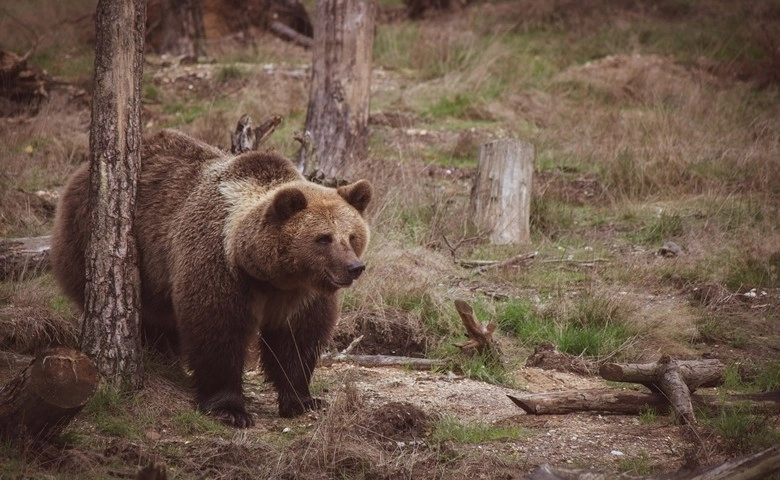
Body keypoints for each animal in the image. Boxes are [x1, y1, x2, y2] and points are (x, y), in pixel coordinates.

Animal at [50, 130, 374, 428]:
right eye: (323, 238)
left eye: (352, 236)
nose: (354, 267)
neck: (267, 274)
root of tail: (79, 174)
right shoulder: (219, 266)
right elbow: (217, 329)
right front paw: (229, 409)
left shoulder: (299, 293)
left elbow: (296, 339)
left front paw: (303, 400)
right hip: (97, 242)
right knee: (149, 317)